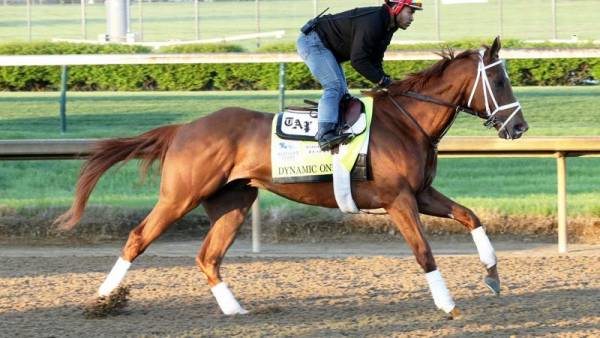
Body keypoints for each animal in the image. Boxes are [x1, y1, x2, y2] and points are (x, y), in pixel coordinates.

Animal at [55, 37, 524, 320]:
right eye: (499, 80)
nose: (519, 127)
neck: (407, 122)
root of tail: (183, 128)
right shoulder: (398, 200)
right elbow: (424, 253)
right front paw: (448, 305)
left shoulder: (421, 193)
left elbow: (471, 216)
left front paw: (492, 274)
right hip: (180, 195)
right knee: (139, 238)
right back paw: (102, 300)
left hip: (233, 201)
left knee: (208, 256)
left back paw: (235, 310)